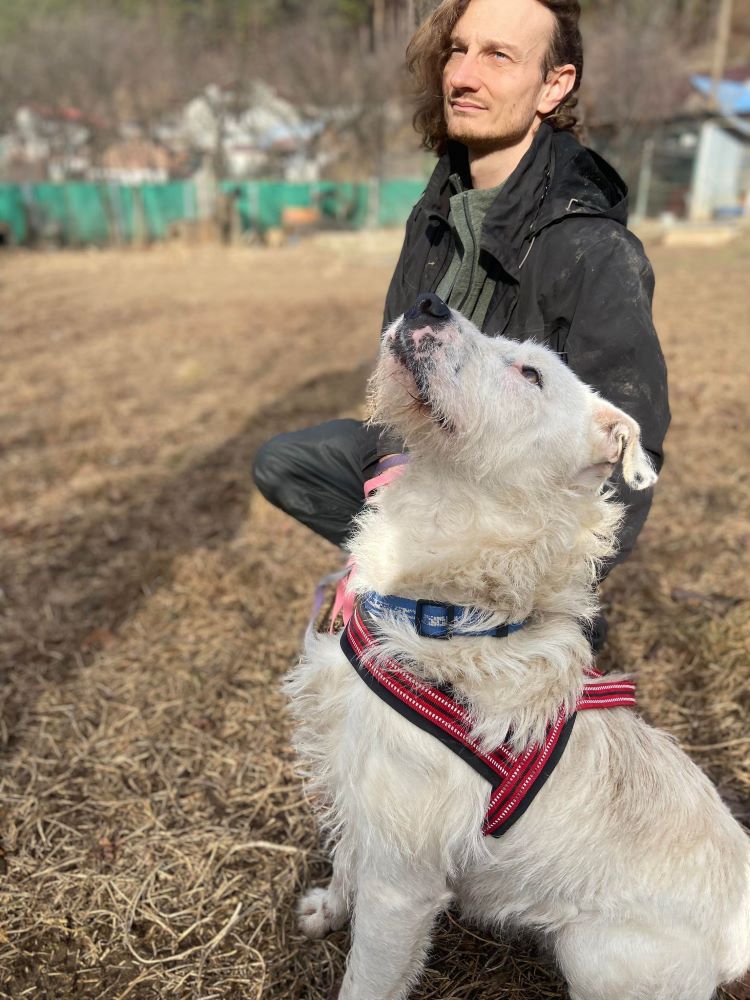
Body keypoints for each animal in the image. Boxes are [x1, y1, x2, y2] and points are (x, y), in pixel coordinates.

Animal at [284, 296, 750, 1000]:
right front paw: (329, 908)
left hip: (595, 954)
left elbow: (366, 978)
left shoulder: (402, 885)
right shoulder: (359, 789)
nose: (427, 304)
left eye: (531, 374)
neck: (446, 612)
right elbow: (345, 856)